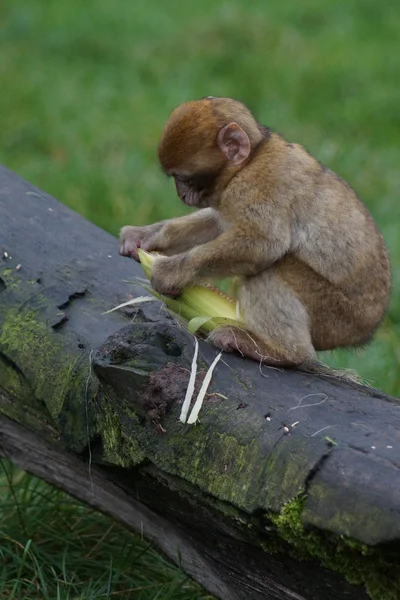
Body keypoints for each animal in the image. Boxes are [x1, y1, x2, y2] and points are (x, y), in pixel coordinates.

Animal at [119, 98, 390, 366]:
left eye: (184, 178)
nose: (182, 194)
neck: (250, 161)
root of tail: (367, 329)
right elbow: (217, 224)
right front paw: (144, 236)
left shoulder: (260, 184)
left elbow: (262, 243)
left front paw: (171, 272)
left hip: (336, 317)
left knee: (271, 270)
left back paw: (282, 351)